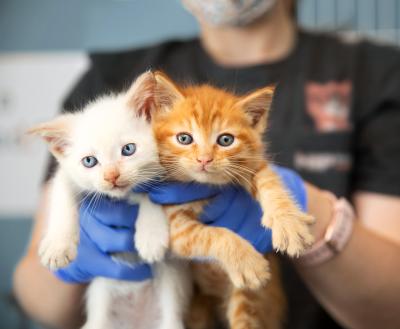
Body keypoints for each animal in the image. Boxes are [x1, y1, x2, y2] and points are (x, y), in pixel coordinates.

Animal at [29, 71, 191, 328]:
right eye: (89, 161)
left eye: (128, 150)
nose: (111, 176)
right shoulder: (66, 175)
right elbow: (61, 196)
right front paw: (58, 246)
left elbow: (152, 194)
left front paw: (151, 236)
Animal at [149, 72, 312, 328]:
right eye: (184, 138)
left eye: (225, 140)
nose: (204, 159)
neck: (205, 186)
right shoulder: (173, 227)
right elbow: (213, 234)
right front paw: (247, 260)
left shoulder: (251, 165)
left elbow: (270, 181)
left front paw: (289, 222)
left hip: (248, 297)